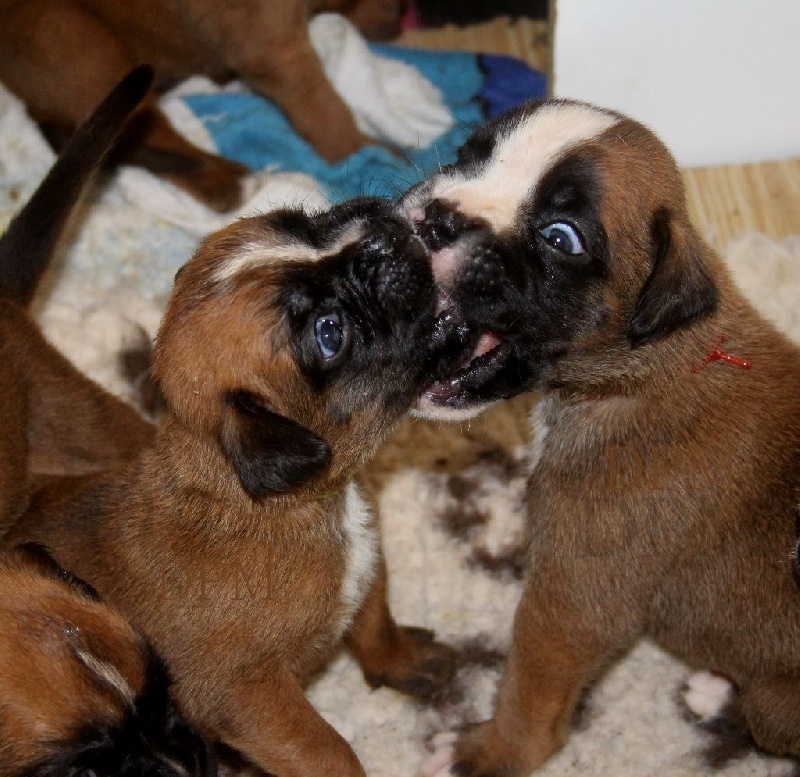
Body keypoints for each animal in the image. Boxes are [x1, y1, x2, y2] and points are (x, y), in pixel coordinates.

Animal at [0, 0, 410, 211]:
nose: (401, 16)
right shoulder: (273, 48)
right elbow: (326, 110)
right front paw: (370, 153)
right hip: (81, 46)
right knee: (148, 138)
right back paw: (229, 180)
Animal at [3, 191, 456, 772]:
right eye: (330, 332)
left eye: (299, 222)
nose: (381, 232)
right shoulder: (249, 695)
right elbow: (327, 749)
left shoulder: (367, 564)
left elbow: (374, 619)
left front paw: (405, 659)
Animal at [404, 98, 800, 776]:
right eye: (469, 154)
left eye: (561, 238)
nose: (438, 218)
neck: (646, 368)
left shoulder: (569, 609)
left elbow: (529, 705)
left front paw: (481, 753)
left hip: (782, 703)